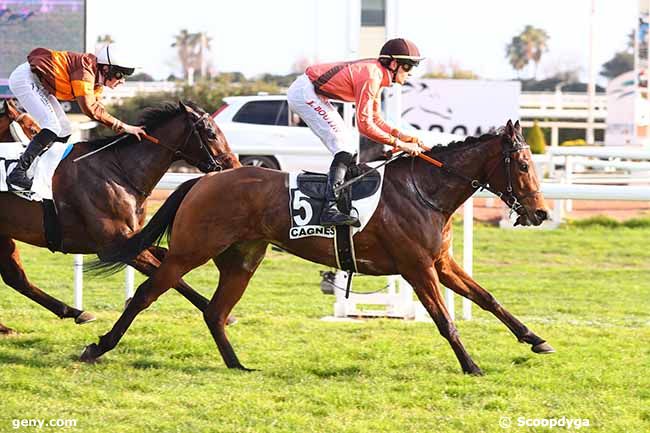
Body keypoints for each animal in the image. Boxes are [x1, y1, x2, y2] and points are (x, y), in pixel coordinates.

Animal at [0, 100, 238, 334]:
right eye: (211, 133)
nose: (234, 165)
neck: (118, 171)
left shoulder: (133, 239)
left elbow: (165, 256)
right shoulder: (116, 245)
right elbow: (168, 274)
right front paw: (221, 313)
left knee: (15, 278)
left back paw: (69, 313)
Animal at [81, 120, 552, 372]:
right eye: (522, 164)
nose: (541, 213)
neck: (425, 190)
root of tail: (203, 179)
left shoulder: (441, 263)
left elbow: (488, 299)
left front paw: (535, 339)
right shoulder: (417, 268)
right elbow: (444, 320)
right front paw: (471, 365)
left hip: (242, 259)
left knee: (215, 312)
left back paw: (237, 364)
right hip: (188, 252)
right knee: (145, 294)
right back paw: (97, 347)